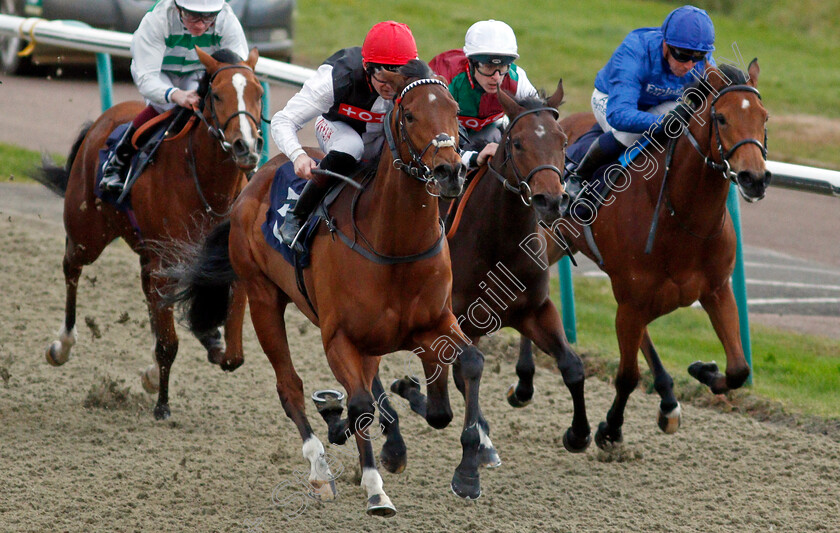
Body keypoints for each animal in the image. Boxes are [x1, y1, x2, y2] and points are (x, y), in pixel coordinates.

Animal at [34, 46, 262, 420]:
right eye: (216, 95)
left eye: (258, 93)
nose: (245, 148)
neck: (207, 186)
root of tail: (102, 120)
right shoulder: (166, 265)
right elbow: (169, 342)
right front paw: (162, 405)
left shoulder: (226, 267)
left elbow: (233, 355)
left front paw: (208, 342)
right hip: (88, 234)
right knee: (71, 268)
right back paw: (62, 345)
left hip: (144, 253)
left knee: (147, 296)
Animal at [171, 61, 486, 516]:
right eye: (409, 115)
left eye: (455, 110)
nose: (449, 171)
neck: (394, 244)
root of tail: (255, 180)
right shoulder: (339, 336)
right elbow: (360, 405)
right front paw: (375, 489)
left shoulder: (431, 324)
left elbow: (464, 374)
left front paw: (467, 472)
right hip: (263, 298)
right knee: (291, 388)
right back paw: (320, 467)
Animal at [374, 78, 592, 470]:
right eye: (517, 142)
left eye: (562, 141)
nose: (550, 200)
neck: (499, 242)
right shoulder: (453, 320)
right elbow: (449, 394)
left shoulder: (535, 309)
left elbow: (572, 366)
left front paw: (578, 434)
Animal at [520, 59, 768, 448]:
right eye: (722, 117)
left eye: (764, 117)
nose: (754, 179)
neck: (683, 218)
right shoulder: (633, 301)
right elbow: (627, 377)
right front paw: (610, 428)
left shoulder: (714, 289)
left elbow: (738, 369)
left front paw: (703, 369)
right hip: (547, 245)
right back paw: (524, 382)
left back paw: (667, 399)